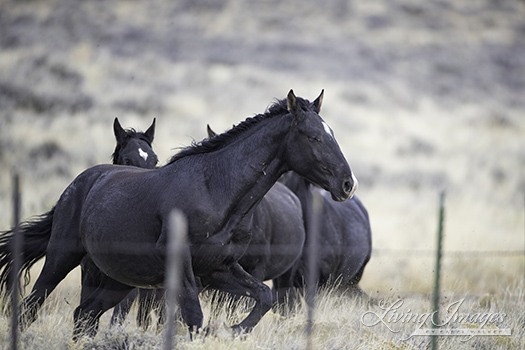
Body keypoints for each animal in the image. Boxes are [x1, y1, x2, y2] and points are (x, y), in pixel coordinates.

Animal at [0, 90, 356, 340]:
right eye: (314, 136)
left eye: (333, 134)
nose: (348, 184)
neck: (215, 189)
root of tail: (77, 184)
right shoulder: (183, 264)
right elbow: (194, 317)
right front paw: (214, 331)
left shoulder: (219, 268)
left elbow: (264, 297)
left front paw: (227, 331)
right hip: (62, 257)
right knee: (32, 306)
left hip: (115, 280)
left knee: (83, 316)